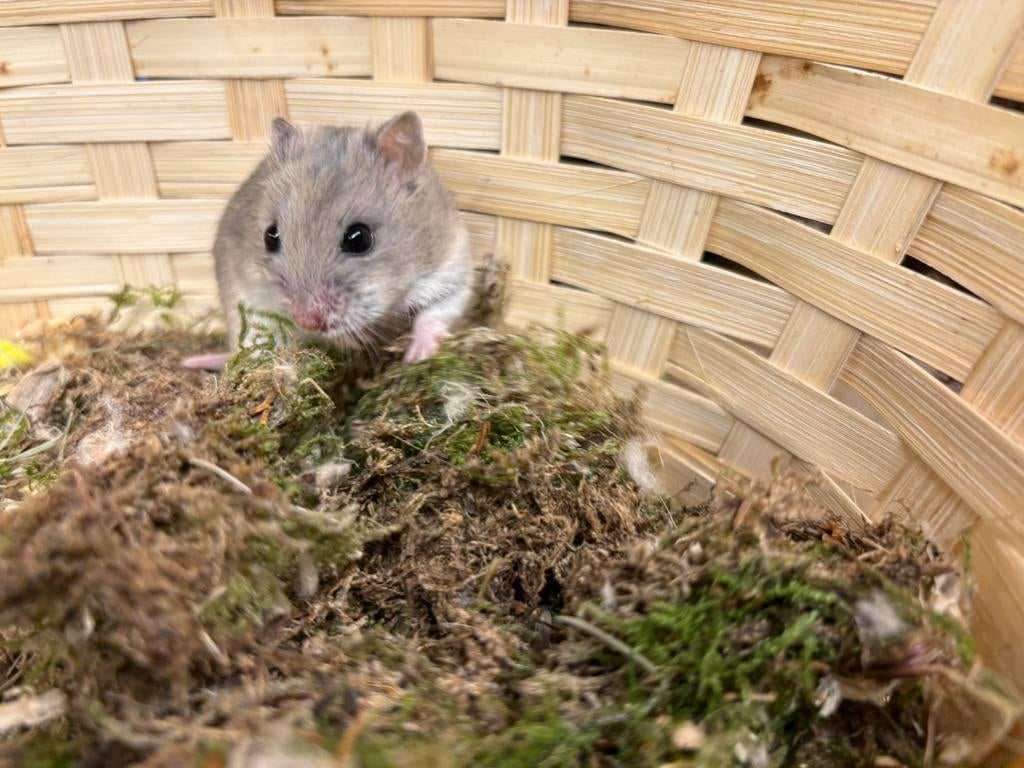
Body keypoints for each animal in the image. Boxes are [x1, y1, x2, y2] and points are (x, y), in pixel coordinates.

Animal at [183, 111, 472, 370]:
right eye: (269, 237)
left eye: (359, 239)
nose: (306, 321)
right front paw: (355, 342)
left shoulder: (453, 269)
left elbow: (436, 312)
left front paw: (416, 357)